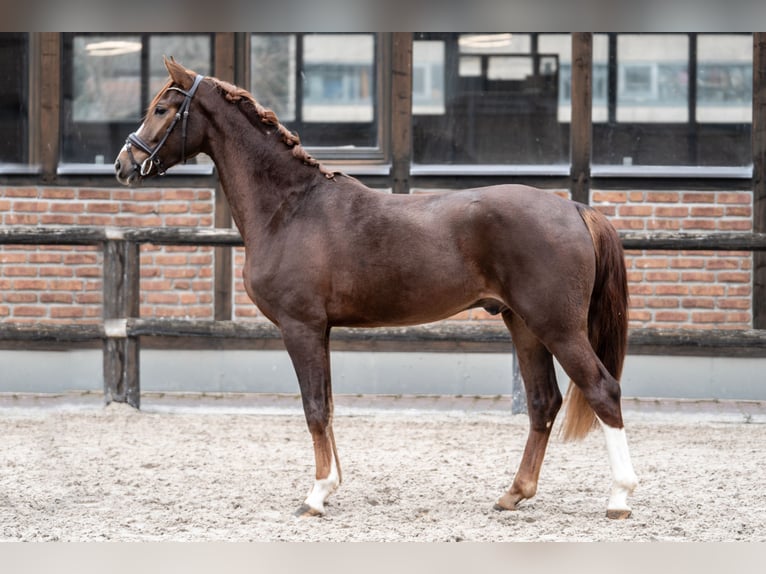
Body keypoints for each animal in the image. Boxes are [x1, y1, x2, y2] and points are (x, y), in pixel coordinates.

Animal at [115, 58, 640, 520]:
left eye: (162, 108)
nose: (124, 162)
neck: (291, 207)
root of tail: (574, 209)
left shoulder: (301, 327)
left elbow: (313, 408)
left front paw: (316, 496)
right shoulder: (321, 330)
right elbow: (326, 405)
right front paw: (330, 485)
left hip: (558, 328)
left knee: (603, 390)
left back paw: (619, 497)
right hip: (524, 325)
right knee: (543, 402)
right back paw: (514, 494)